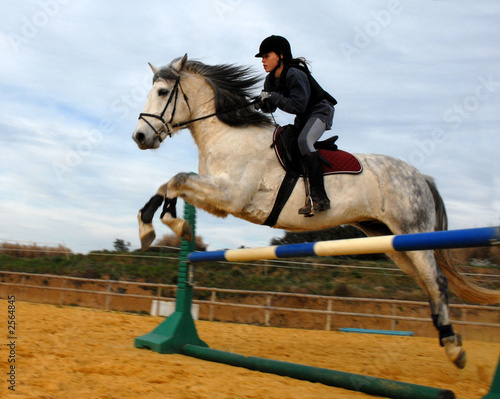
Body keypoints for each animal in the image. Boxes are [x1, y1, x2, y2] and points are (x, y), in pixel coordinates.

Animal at [131, 54, 498, 370]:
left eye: (162, 92)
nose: (139, 136)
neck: (229, 134)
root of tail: (420, 176)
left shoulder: (230, 196)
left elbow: (177, 179)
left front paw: (170, 225)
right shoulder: (217, 198)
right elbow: (170, 184)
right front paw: (155, 226)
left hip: (412, 232)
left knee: (437, 281)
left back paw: (454, 348)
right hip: (391, 241)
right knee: (427, 283)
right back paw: (447, 338)